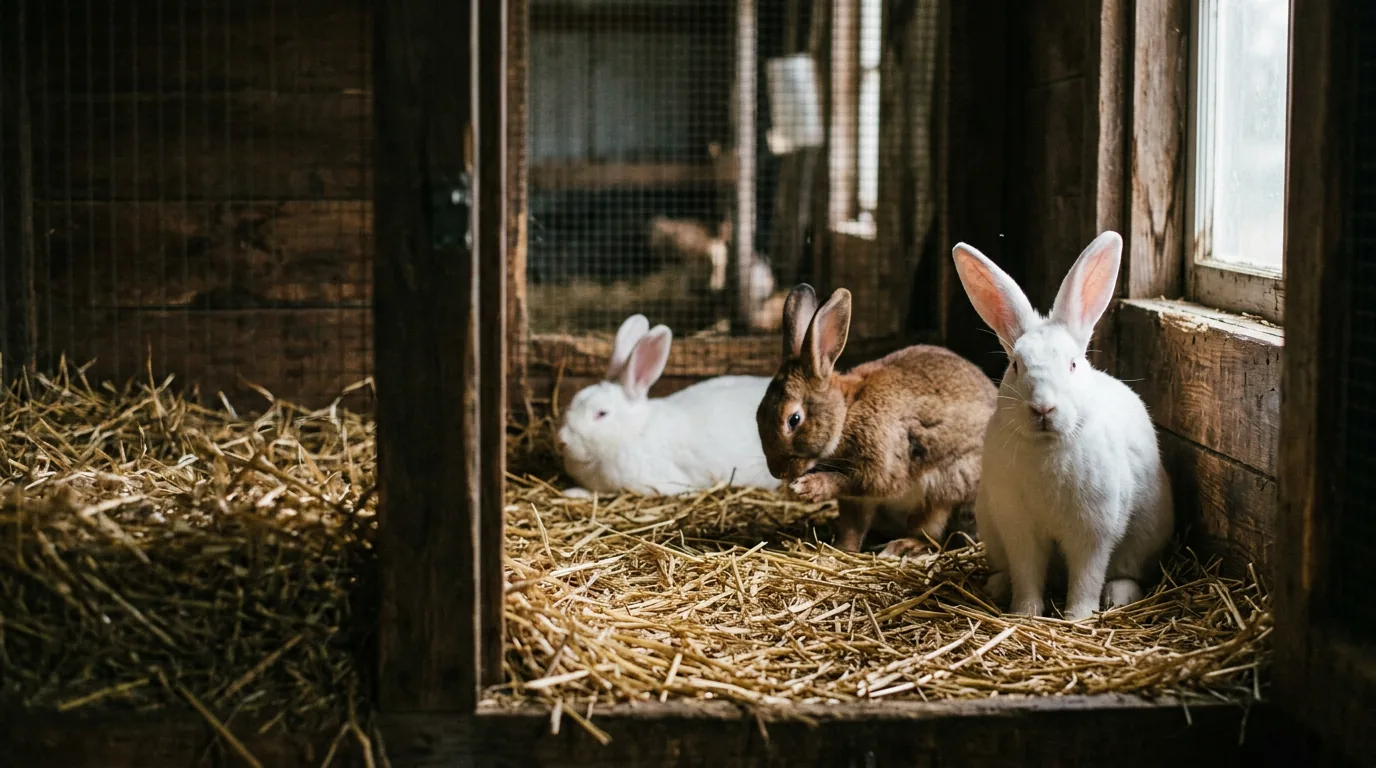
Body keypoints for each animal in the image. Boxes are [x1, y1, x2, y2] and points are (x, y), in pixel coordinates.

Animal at [755, 284, 997, 557]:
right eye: (758, 414)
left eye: (794, 419)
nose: (778, 472)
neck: (846, 415)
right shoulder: (856, 503)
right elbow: (853, 527)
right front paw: (841, 549)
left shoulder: (880, 468)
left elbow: (854, 481)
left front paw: (807, 487)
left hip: (945, 490)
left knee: (932, 533)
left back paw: (902, 546)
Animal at [950, 231, 1174, 620]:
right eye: (1015, 366)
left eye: (1072, 364)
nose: (1043, 407)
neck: (1047, 445)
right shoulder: (1019, 530)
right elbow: (1027, 573)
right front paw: (1024, 613)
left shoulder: (1093, 532)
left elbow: (1087, 577)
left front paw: (1078, 618)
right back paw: (997, 587)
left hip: (1144, 537)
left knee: (1125, 571)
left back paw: (1119, 596)